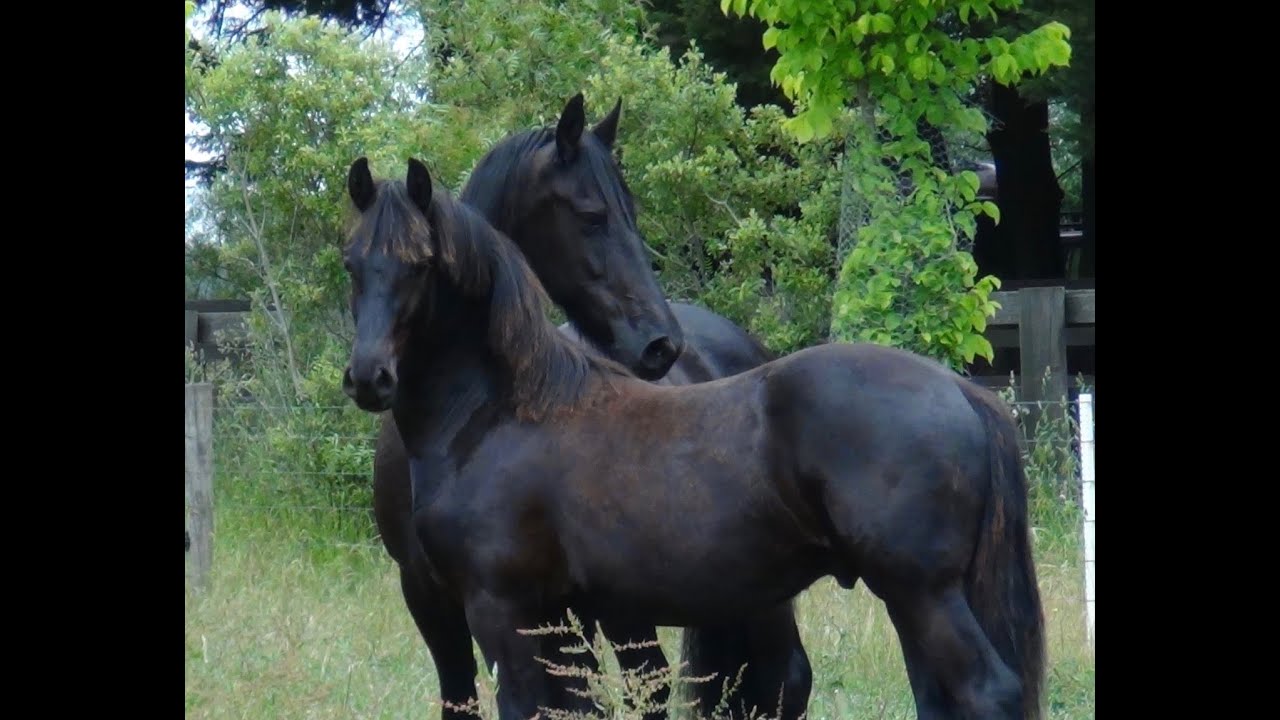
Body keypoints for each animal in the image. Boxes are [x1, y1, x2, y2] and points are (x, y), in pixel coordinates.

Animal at [340, 158, 1047, 720]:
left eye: (421, 264)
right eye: (352, 263)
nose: (369, 377)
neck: (500, 413)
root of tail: (959, 390)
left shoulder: (501, 609)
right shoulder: (559, 614)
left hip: (921, 593)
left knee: (986, 691)